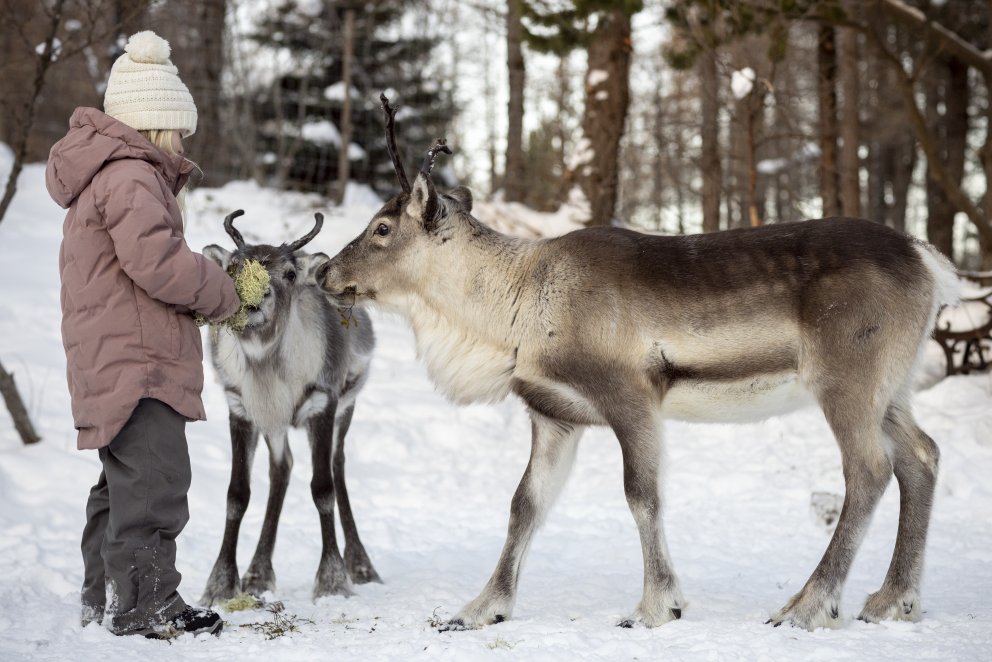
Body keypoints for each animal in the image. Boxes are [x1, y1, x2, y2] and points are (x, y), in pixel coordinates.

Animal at [199, 210, 380, 606]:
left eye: (291, 274)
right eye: (233, 266)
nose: (256, 298)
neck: (267, 365)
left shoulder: (322, 403)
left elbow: (323, 490)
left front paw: (332, 581)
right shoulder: (243, 408)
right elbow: (236, 494)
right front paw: (220, 584)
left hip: (347, 406)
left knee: (337, 466)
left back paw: (362, 566)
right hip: (276, 424)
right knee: (282, 469)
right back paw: (257, 573)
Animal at [312, 94, 960, 632]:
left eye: (382, 228)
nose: (323, 272)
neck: (512, 310)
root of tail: (927, 259)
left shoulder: (631, 398)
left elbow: (641, 495)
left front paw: (656, 606)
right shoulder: (555, 415)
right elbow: (525, 505)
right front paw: (481, 608)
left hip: (846, 379)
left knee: (869, 470)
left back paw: (808, 606)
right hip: (892, 388)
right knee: (922, 456)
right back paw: (893, 599)